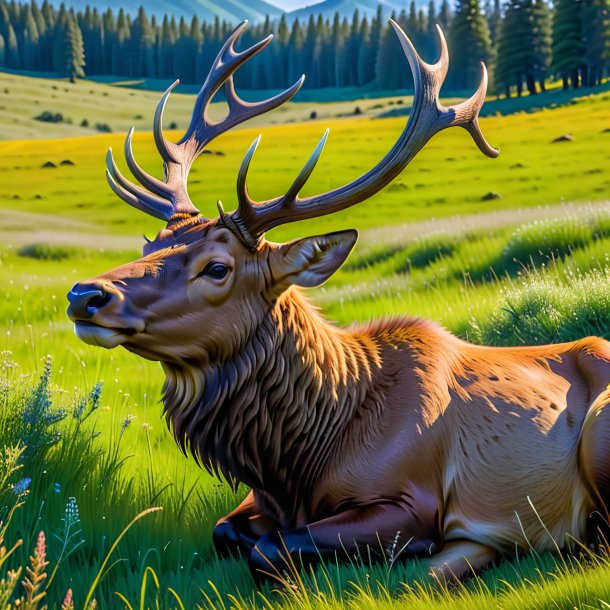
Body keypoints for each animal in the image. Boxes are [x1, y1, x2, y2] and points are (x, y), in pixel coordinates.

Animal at [66, 20, 608, 580]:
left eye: (217, 268)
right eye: (149, 245)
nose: (85, 294)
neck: (297, 461)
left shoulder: (413, 498)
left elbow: (271, 548)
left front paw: (430, 552)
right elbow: (224, 530)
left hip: (600, 431)